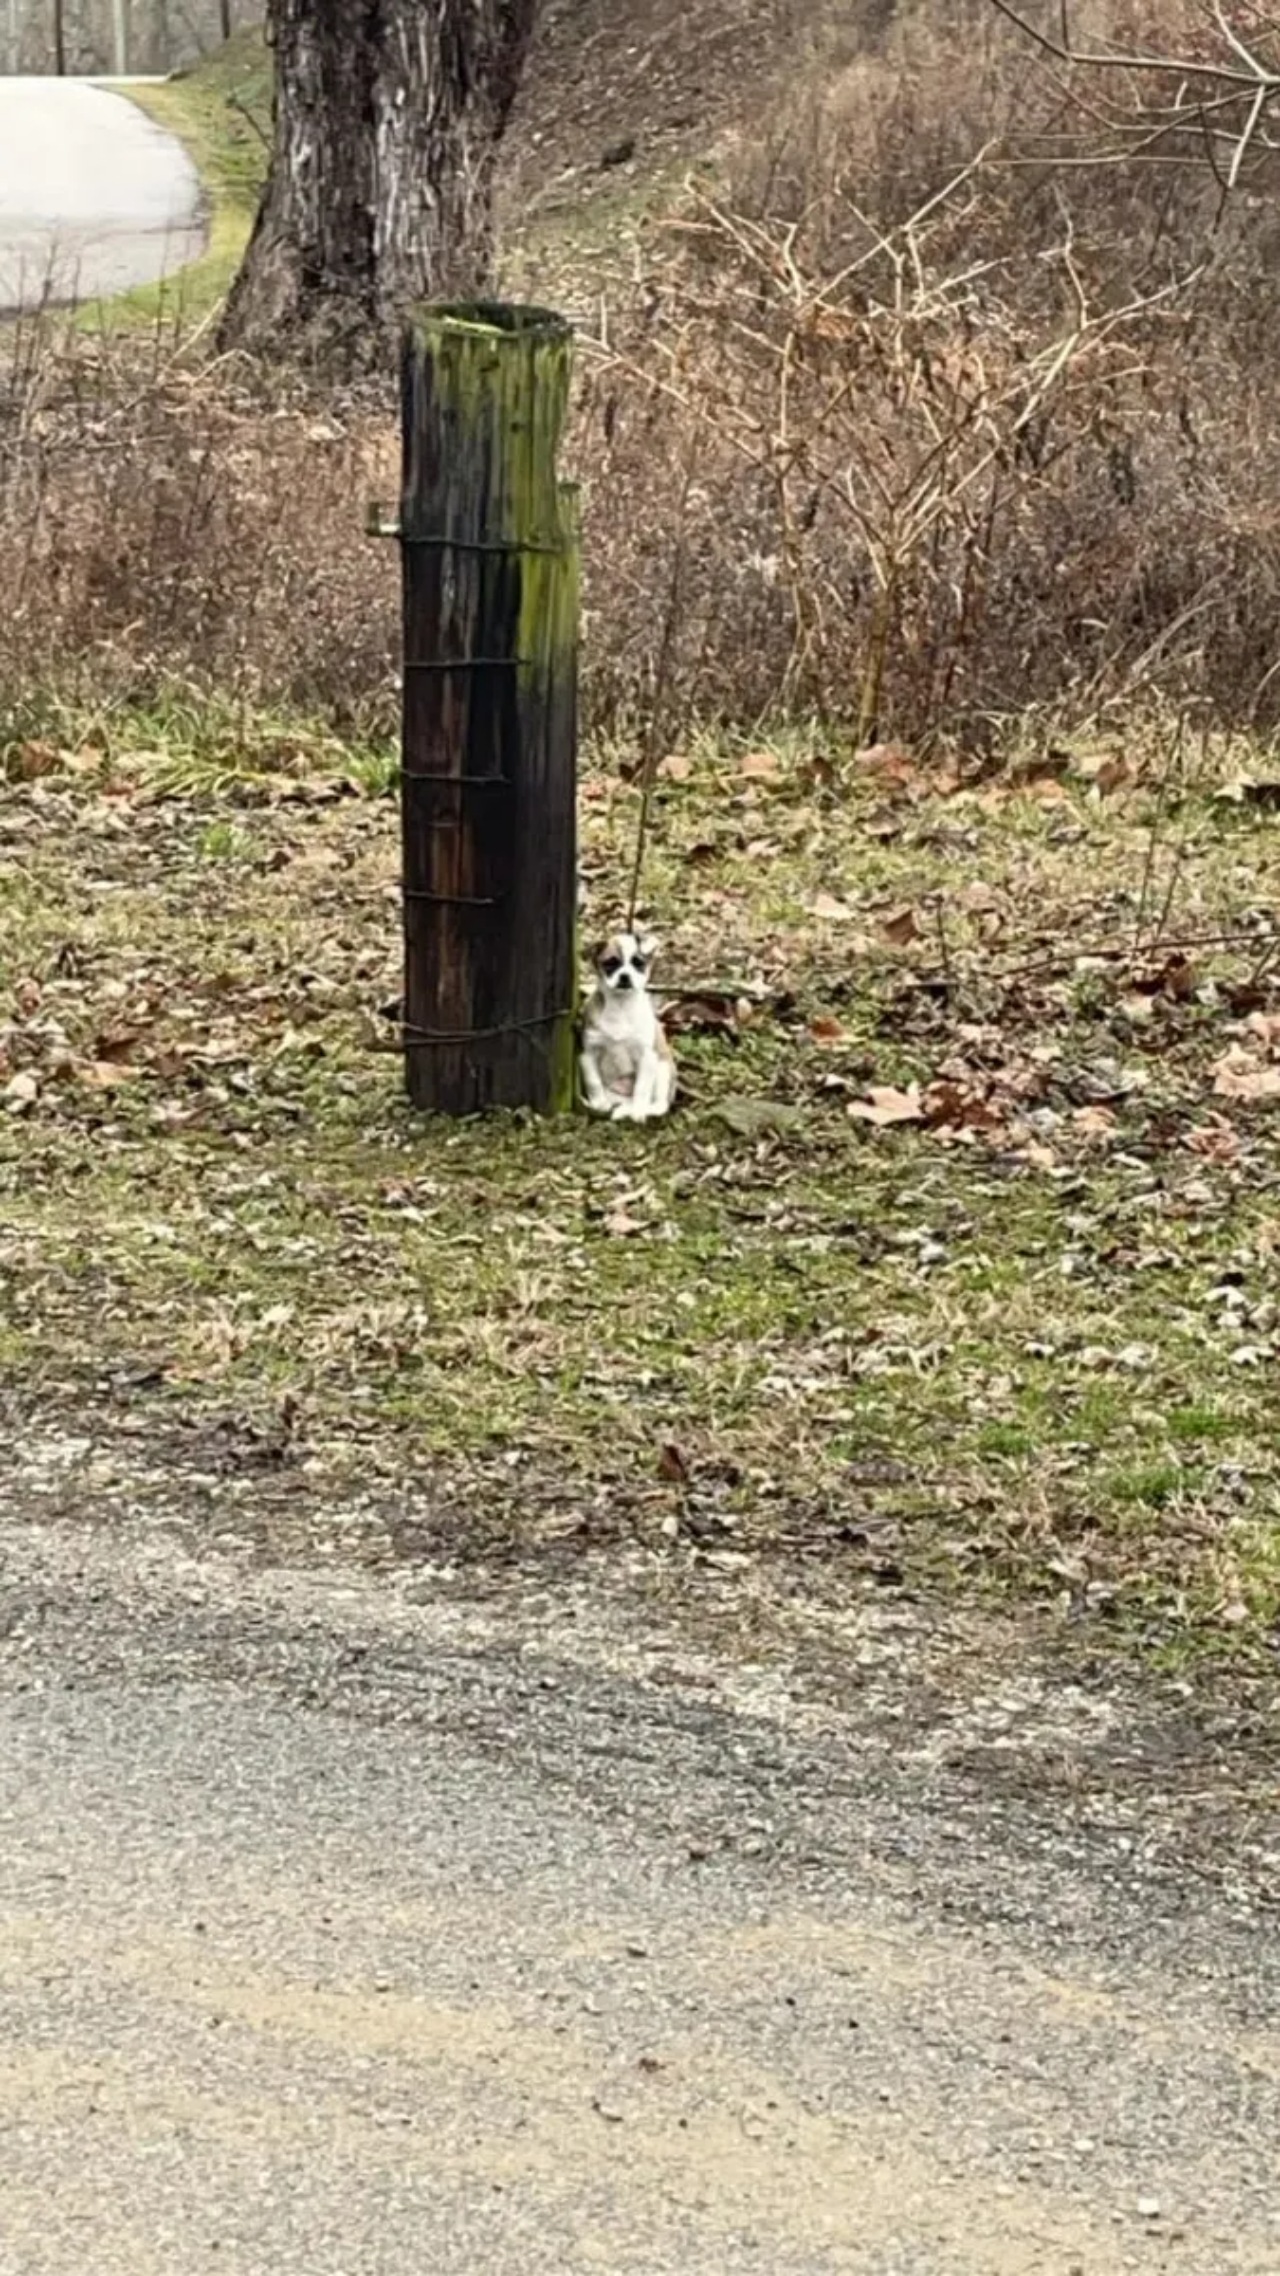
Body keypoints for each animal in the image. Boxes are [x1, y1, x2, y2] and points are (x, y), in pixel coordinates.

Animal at [580, 928, 678, 1124]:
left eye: (638, 963)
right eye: (610, 963)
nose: (625, 976)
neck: (621, 1006)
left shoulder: (647, 1058)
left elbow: (642, 1088)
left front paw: (638, 1112)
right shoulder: (588, 1055)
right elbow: (593, 1082)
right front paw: (598, 1103)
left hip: (662, 1070)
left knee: (659, 1105)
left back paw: (639, 1109)